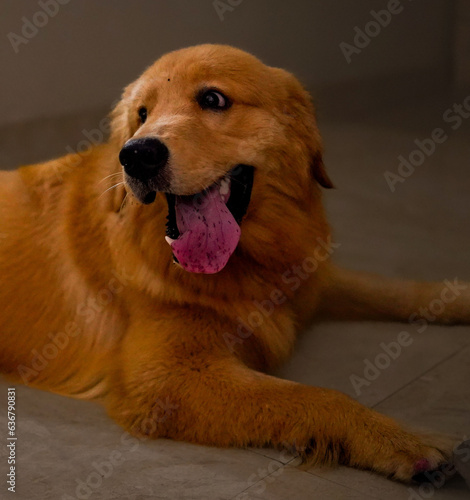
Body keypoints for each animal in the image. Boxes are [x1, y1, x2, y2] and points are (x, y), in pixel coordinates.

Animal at [0, 45, 470, 482]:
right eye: (142, 114)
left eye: (213, 99)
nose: (136, 155)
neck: (248, 264)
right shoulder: (167, 378)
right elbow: (317, 396)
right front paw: (401, 440)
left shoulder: (310, 279)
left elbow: (393, 288)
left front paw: (457, 298)